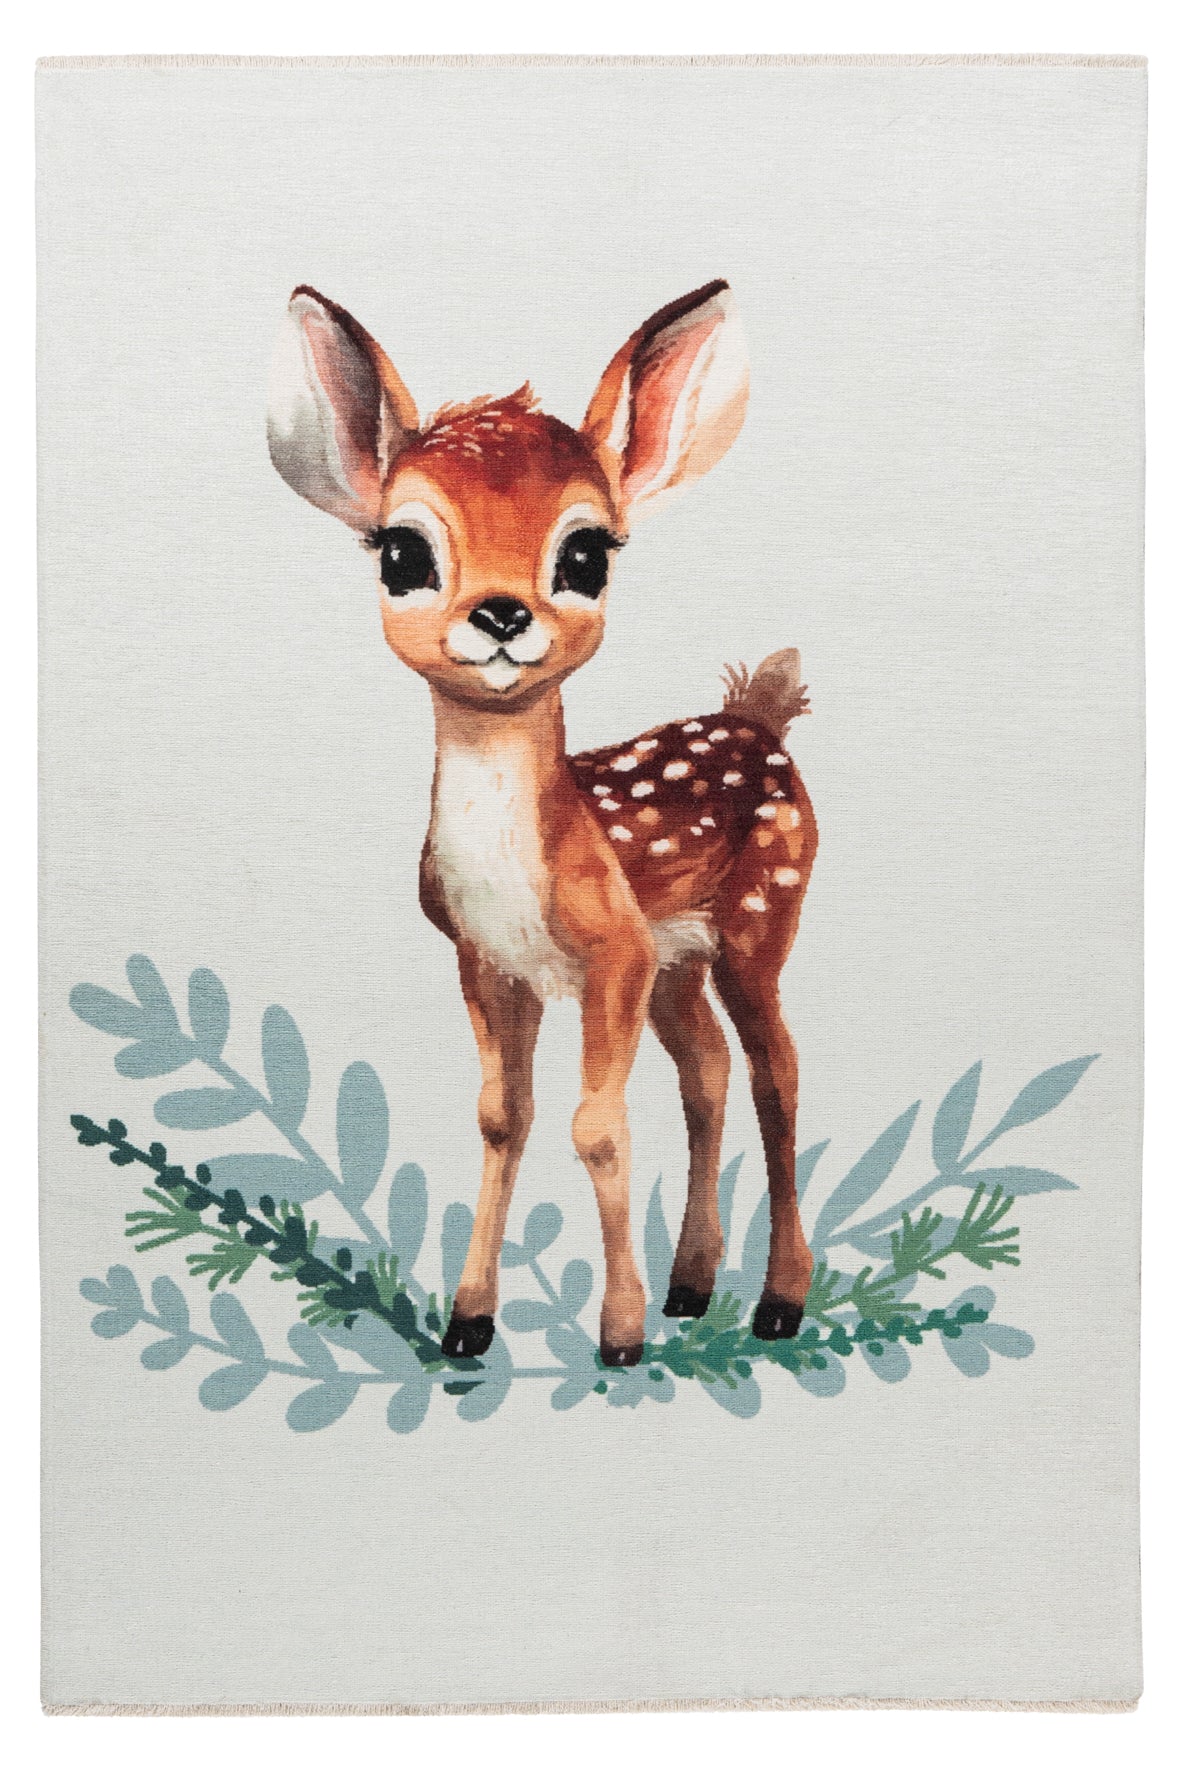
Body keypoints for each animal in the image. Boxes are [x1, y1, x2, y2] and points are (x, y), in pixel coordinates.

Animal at [267, 279, 818, 1369]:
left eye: (585, 551)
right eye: (401, 550)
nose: (499, 613)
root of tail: (759, 716)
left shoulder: (610, 950)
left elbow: (594, 1126)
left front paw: (618, 1336)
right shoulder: (491, 958)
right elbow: (501, 1117)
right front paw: (467, 1321)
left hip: (759, 915)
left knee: (775, 1072)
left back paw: (778, 1301)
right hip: (679, 955)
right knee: (707, 1069)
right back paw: (692, 1284)